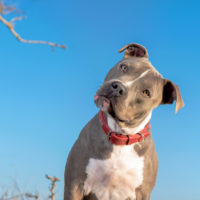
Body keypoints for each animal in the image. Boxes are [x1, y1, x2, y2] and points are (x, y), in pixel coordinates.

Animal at [64, 43, 184, 199]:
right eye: (124, 67)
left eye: (146, 92)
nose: (118, 87)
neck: (120, 134)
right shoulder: (75, 184)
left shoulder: (142, 193)